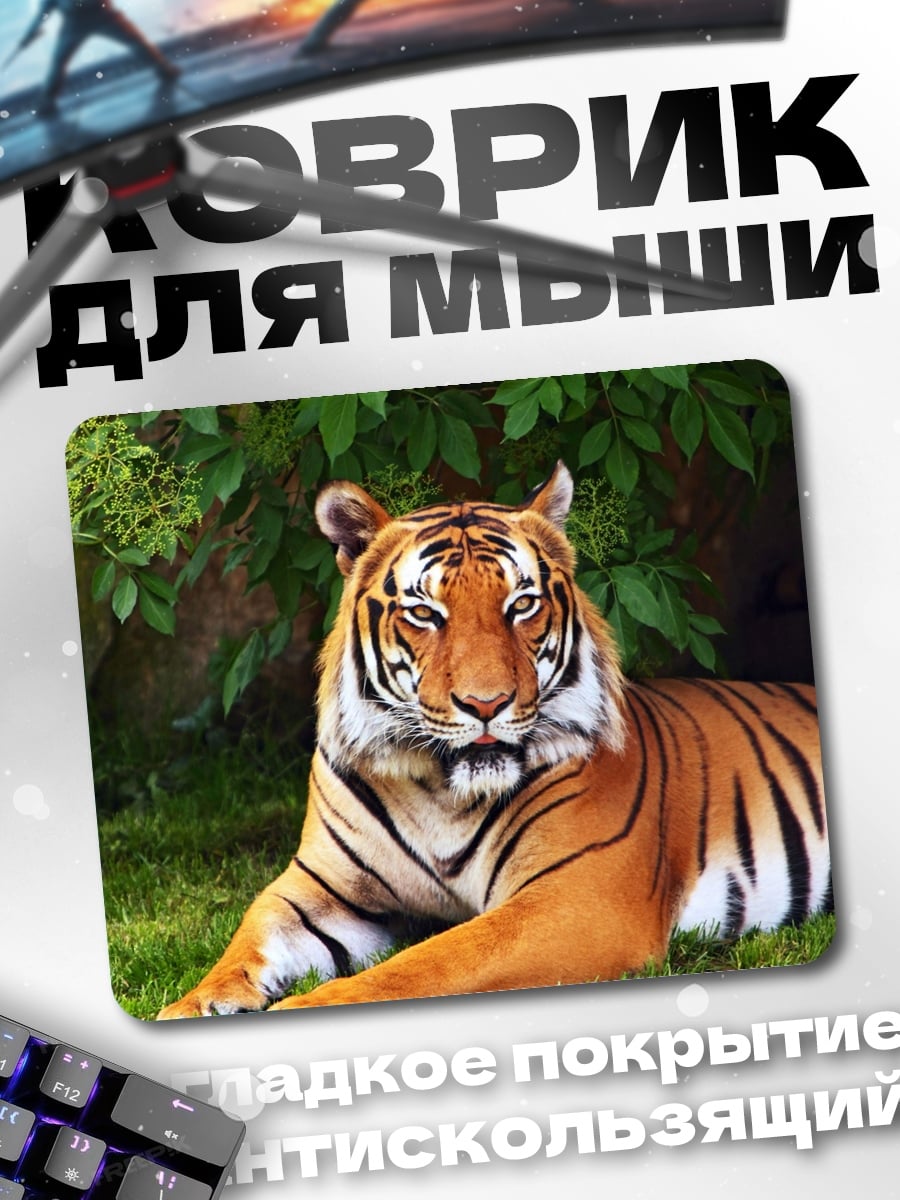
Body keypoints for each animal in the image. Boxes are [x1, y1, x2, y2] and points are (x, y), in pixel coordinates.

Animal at [157, 461, 830, 1018]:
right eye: (425, 613)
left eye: (522, 604)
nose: (486, 704)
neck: (438, 790)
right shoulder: (320, 886)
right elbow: (250, 936)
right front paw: (192, 1006)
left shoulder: (577, 899)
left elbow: (426, 964)